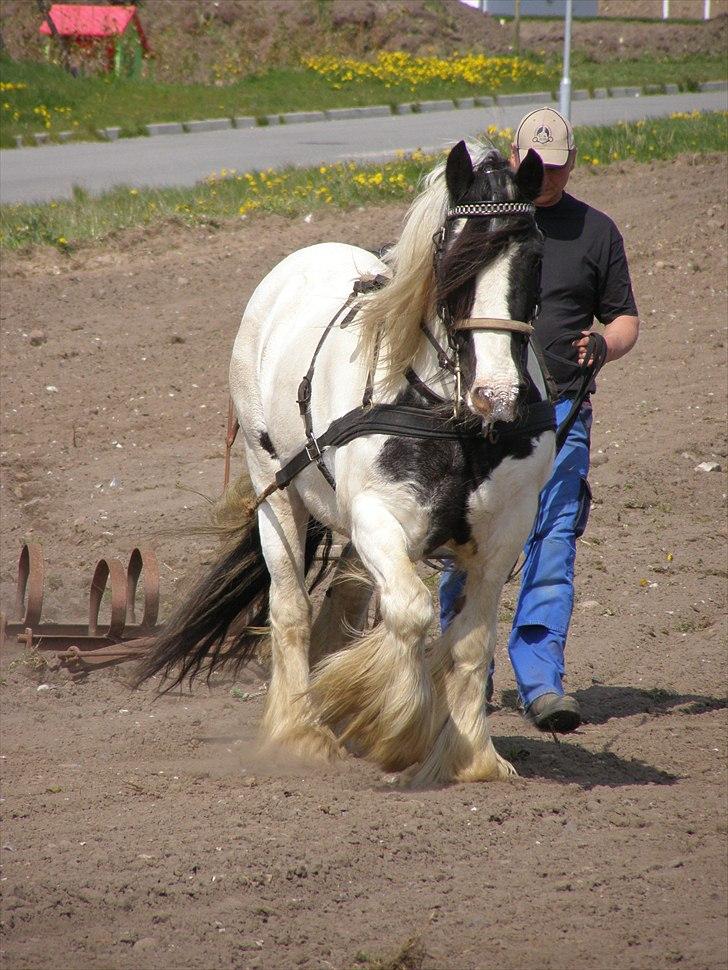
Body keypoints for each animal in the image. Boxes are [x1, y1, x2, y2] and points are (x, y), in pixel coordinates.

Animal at [136, 140, 556, 784]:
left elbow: (468, 644)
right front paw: (393, 729)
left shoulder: (503, 534)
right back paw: (300, 729)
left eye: (532, 254)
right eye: (452, 253)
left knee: (345, 601)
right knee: (290, 608)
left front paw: (472, 757)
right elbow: (410, 612)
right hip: (275, 490)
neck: (449, 415)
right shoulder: (377, 517)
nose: (499, 396)